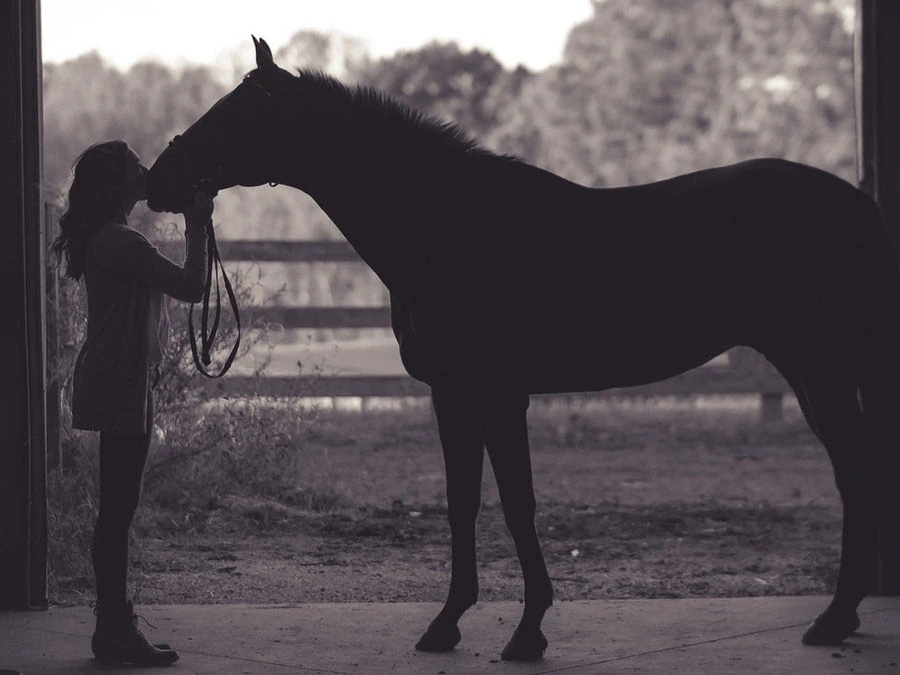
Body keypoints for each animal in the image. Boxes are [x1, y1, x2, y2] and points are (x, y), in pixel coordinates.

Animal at [148, 36, 900, 661]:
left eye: (237, 113)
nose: (159, 178)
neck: (448, 225)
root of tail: (860, 205)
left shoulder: (500, 394)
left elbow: (516, 503)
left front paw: (527, 630)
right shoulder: (453, 396)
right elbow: (462, 502)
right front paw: (448, 623)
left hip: (822, 366)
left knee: (858, 470)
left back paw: (835, 619)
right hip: (810, 368)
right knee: (857, 470)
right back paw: (841, 616)